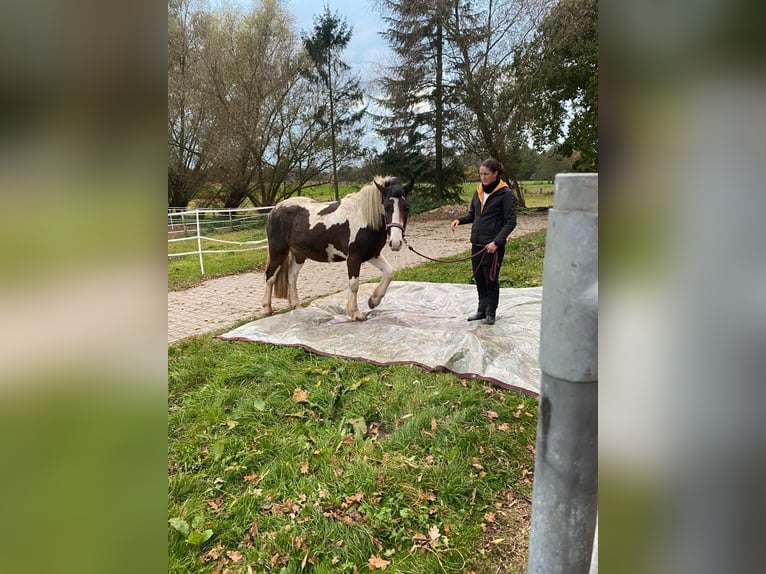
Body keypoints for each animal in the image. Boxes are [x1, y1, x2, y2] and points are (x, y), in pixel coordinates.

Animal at [260, 176, 414, 322]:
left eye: (406, 207)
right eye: (386, 206)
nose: (396, 242)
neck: (364, 218)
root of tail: (275, 209)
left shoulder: (372, 254)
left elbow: (389, 272)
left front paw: (373, 301)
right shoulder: (353, 257)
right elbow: (354, 284)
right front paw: (355, 313)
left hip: (299, 255)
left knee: (291, 276)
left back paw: (296, 306)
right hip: (278, 252)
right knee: (270, 276)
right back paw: (267, 308)